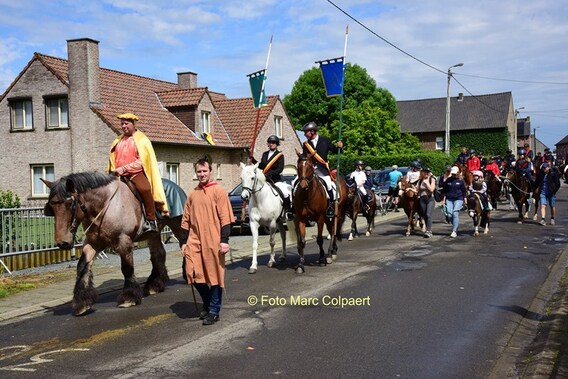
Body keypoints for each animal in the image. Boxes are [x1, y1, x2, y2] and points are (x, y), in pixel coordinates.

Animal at [42, 174, 184, 316]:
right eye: (51, 207)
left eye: (70, 203)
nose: (63, 242)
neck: (105, 206)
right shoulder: (93, 242)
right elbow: (82, 266)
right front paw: (82, 303)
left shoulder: (124, 241)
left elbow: (127, 268)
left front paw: (129, 297)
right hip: (153, 234)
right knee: (158, 254)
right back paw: (154, 285)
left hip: (177, 225)